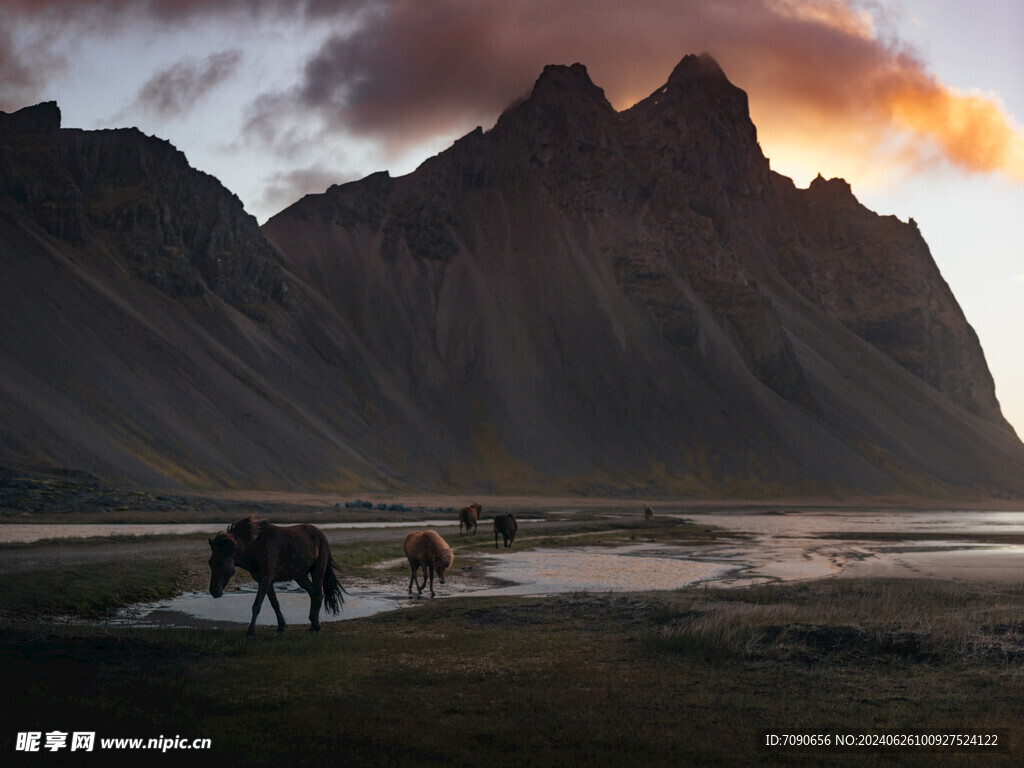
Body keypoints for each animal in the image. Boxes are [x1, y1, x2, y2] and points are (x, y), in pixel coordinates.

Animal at [206, 518, 344, 638]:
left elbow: (256, 605)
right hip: (301, 577)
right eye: (210, 562)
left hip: (318, 571)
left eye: (221, 563)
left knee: (318, 594)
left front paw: (250, 632)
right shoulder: (266, 581)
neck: (257, 545)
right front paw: (281, 627)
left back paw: (315, 627)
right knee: (314, 594)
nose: (214, 591)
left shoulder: (266, 579)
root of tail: (321, 535)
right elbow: (275, 604)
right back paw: (313, 625)